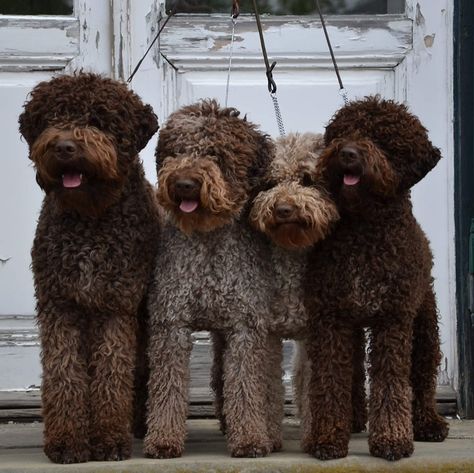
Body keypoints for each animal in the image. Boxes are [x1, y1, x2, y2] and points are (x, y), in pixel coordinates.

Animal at [19, 73, 159, 460]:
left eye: (98, 121)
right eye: (52, 117)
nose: (65, 147)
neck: (91, 218)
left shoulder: (115, 304)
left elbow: (112, 373)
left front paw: (109, 439)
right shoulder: (60, 303)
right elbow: (63, 372)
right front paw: (67, 441)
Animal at [304, 96, 448, 460]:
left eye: (384, 139)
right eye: (345, 130)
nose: (348, 153)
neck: (364, 229)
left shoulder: (393, 318)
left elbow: (390, 380)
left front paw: (392, 440)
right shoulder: (331, 317)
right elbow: (330, 379)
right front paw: (328, 437)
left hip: (424, 323)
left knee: (423, 376)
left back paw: (429, 422)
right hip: (355, 327)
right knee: (354, 372)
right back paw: (355, 417)